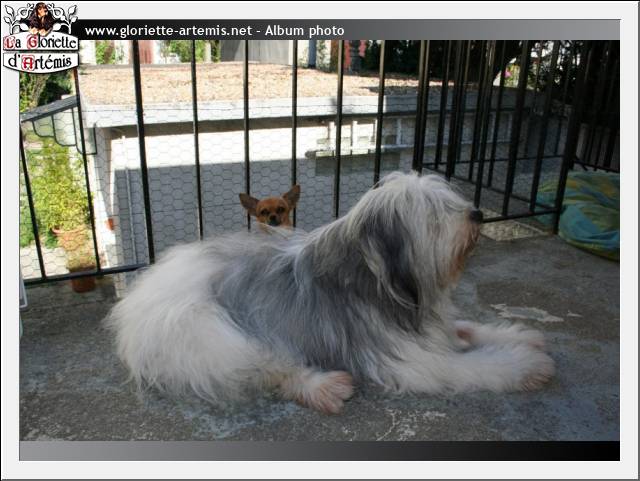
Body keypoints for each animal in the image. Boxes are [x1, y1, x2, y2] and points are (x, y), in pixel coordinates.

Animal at [107, 172, 554, 414]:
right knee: (267, 367)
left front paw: (521, 336)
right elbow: (472, 365)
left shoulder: (430, 325)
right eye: (432, 213)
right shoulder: (411, 359)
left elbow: (464, 329)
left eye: (450, 200)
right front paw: (526, 364)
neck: (380, 278)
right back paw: (321, 387)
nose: (477, 214)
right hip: (207, 331)